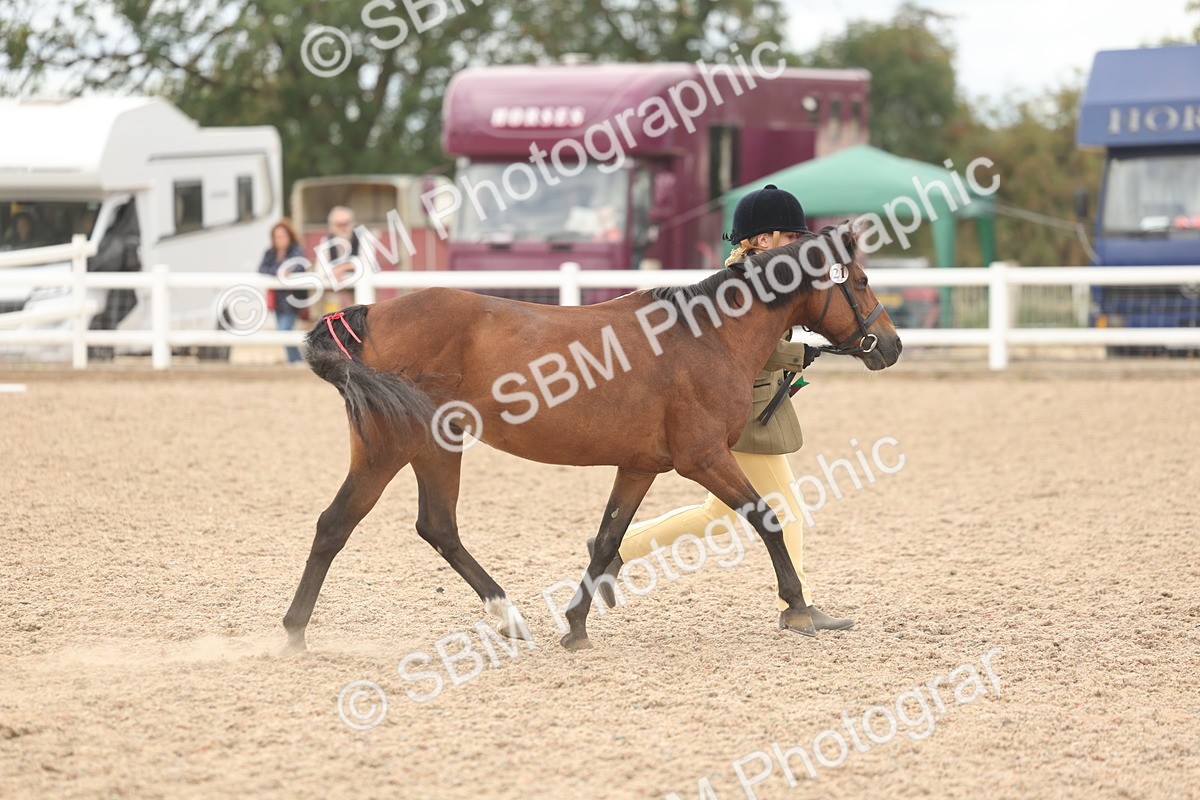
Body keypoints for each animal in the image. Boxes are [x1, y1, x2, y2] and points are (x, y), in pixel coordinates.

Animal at [282, 224, 901, 652]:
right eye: (862, 280)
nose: (892, 346)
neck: (706, 337)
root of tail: (368, 316)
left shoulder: (641, 465)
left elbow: (607, 540)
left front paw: (576, 624)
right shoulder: (704, 458)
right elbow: (766, 519)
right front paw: (799, 608)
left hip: (437, 446)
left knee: (438, 528)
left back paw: (509, 617)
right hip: (388, 448)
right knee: (336, 525)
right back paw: (293, 633)